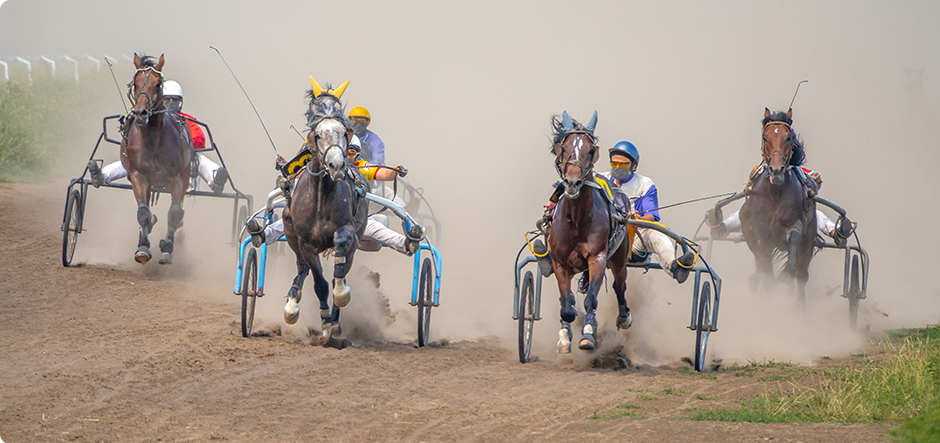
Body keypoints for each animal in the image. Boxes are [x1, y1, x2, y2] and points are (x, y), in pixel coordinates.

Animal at [122, 53, 194, 266]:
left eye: (158, 84)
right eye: (135, 83)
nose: (141, 113)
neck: (152, 141)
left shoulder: (177, 178)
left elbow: (175, 213)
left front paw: (167, 249)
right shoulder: (138, 176)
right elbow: (143, 212)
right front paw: (143, 248)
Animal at [280, 77, 368, 346]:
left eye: (342, 131)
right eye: (318, 133)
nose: (336, 164)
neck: (320, 197)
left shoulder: (348, 230)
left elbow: (340, 250)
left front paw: (337, 306)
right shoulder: (305, 242)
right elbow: (319, 284)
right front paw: (326, 324)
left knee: (343, 267)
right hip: (290, 233)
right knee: (302, 268)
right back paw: (293, 304)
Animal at [544, 111, 632, 354]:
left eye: (591, 150)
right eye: (564, 148)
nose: (572, 182)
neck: (577, 220)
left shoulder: (597, 258)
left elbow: (591, 299)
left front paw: (588, 335)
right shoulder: (560, 263)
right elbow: (566, 304)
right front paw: (565, 338)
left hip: (619, 258)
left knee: (620, 285)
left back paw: (624, 317)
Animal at [740, 109, 816, 304]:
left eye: (788, 137)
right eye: (765, 137)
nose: (776, 170)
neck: (775, 194)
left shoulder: (795, 222)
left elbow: (794, 235)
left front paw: (787, 276)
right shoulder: (762, 232)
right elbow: (764, 265)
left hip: (808, 240)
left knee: (802, 276)